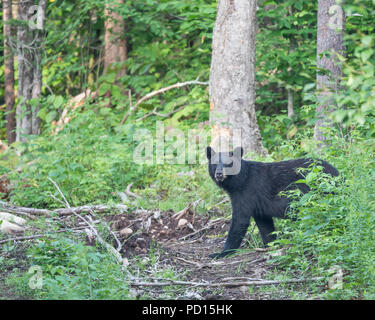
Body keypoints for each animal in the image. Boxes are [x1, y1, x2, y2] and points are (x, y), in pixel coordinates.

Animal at [207, 146, 340, 258]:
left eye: (228, 163)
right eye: (214, 163)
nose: (219, 173)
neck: (239, 181)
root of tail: (337, 173)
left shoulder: (246, 193)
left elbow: (239, 221)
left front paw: (221, 253)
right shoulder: (258, 205)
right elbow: (265, 224)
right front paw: (271, 245)